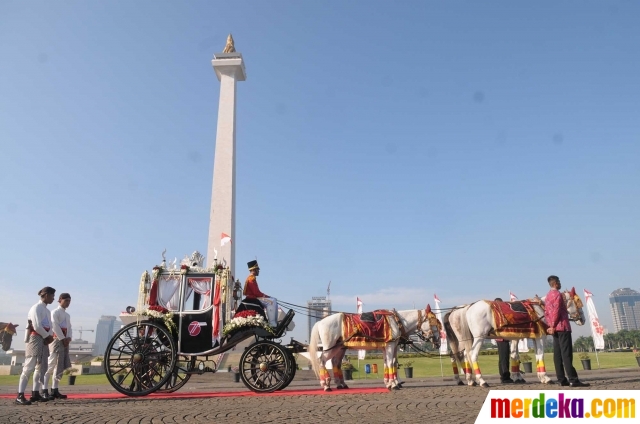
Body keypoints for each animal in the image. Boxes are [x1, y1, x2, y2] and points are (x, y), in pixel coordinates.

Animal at [308, 304, 440, 390]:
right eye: (433, 321)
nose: (438, 341)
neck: (396, 321)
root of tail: (321, 322)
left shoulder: (388, 347)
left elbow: (389, 362)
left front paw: (389, 382)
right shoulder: (391, 345)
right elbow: (391, 363)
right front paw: (393, 384)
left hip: (339, 347)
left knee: (335, 362)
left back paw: (341, 384)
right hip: (330, 346)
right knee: (322, 360)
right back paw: (326, 384)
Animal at [444, 288, 584, 388]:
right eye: (578, 304)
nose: (582, 319)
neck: (540, 308)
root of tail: (468, 307)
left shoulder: (524, 337)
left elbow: (517, 356)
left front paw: (526, 377)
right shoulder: (540, 337)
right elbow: (540, 356)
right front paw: (545, 378)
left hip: (468, 339)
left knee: (463, 355)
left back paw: (469, 379)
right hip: (479, 337)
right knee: (471, 355)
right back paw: (481, 381)